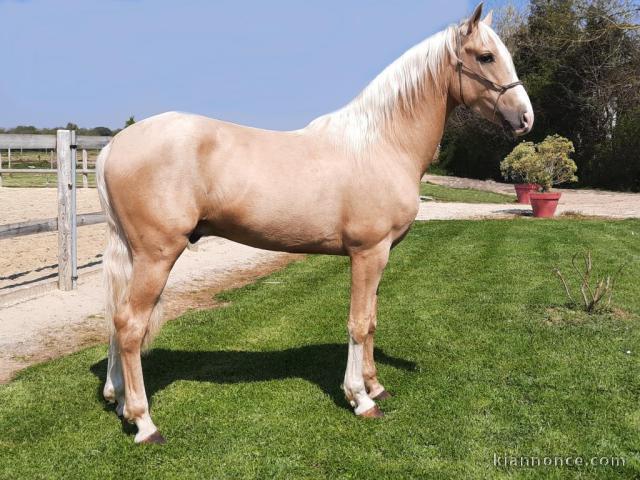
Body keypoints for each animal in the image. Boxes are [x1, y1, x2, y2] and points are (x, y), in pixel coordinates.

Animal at [96, 3, 533, 444]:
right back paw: (144, 422)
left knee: (116, 318)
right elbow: (358, 324)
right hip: (157, 255)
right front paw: (361, 399)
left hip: (136, 255)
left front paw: (376, 385)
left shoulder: (381, 256)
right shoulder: (367, 253)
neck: (381, 144)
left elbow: (372, 320)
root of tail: (116, 144)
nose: (526, 117)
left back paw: (118, 400)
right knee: (130, 325)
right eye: (485, 56)